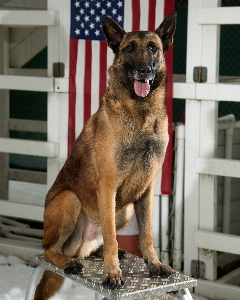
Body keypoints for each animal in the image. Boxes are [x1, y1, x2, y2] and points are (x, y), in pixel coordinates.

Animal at [33, 12, 176, 300]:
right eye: (129, 48)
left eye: (153, 48)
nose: (144, 71)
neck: (140, 113)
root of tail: (77, 247)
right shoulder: (108, 187)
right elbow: (111, 236)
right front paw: (112, 273)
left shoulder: (146, 191)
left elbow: (147, 235)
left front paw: (154, 264)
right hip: (70, 200)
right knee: (50, 250)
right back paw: (69, 262)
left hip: (126, 209)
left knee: (91, 245)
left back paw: (96, 252)